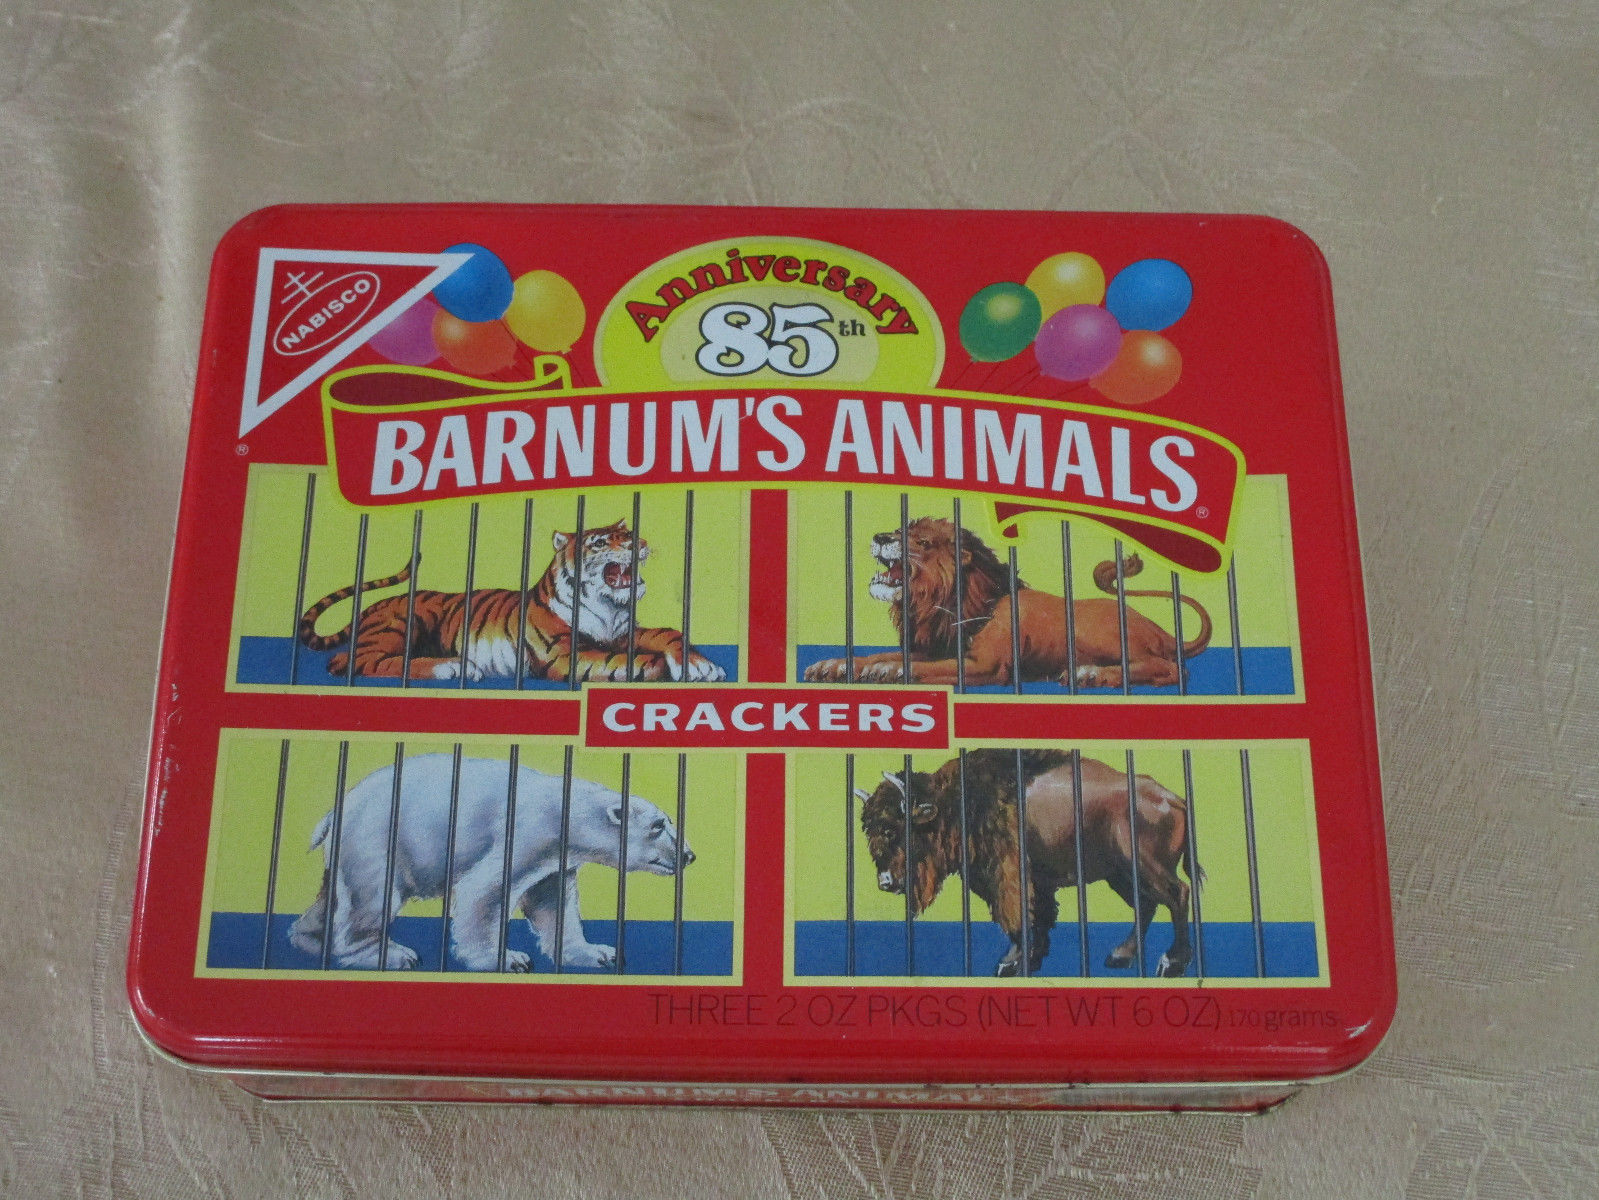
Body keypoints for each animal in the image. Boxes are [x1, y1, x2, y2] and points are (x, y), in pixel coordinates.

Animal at [296, 519, 726, 684]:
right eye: (601, 541)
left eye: (630, 534)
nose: (640, 543)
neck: (609, 608)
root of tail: (369, 609)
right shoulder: (563, 654)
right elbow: (621, 661)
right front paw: (668, 670)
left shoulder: (622, 631)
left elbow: (665, 632)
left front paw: (700, 665)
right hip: (406, 620)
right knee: (359, 661)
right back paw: (454, 667)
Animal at [803, 517, 1211, 689]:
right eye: (900, 530)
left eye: (923, 542)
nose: (880, 537)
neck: (943, 603)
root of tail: (1159, 629)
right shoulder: (937, 647)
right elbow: (878, 655)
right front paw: (834, 665)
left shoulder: (986, 666)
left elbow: (922, 668)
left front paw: (889, 671)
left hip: (1096, 632)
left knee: (1171, 669)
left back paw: (1093, 674)